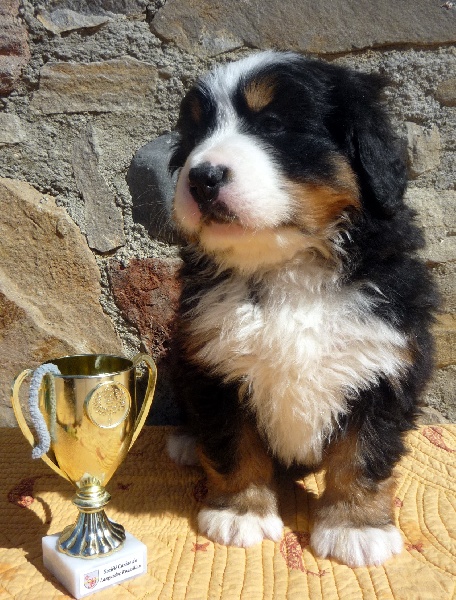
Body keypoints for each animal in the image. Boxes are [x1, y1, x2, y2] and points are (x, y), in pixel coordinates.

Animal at [167, 51, 438, 567]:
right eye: (193, 138)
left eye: (273, 125)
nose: (201, 177)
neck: (288, 269)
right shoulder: (215, 363)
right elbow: (234, 442)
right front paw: (240, 513)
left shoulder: (384, 364)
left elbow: (363, 452)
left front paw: (355, 525)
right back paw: (187, 441)